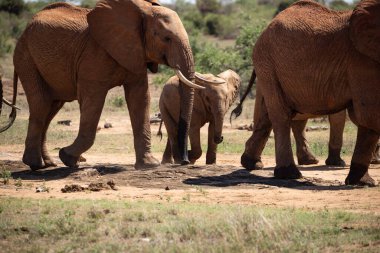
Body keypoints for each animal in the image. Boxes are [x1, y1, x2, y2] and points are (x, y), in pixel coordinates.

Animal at [11, 0, 203, 171]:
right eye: (166, 38)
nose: (185, 161)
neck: (142, 11)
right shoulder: (94, 55)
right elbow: (93, 100)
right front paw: (68, 158)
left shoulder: (135, 52)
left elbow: (140, 98)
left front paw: (149, 165)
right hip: (25, 57)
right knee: (41, 104)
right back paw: (35, 165)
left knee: (52, 108)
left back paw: (48, 164)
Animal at [240, 0, 380, 186]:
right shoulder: (361, 60)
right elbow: (369, 115)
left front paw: (362, 182)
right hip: (267, 63)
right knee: (280, 115)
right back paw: (289, 174)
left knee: (268, 116)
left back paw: (253, 164)